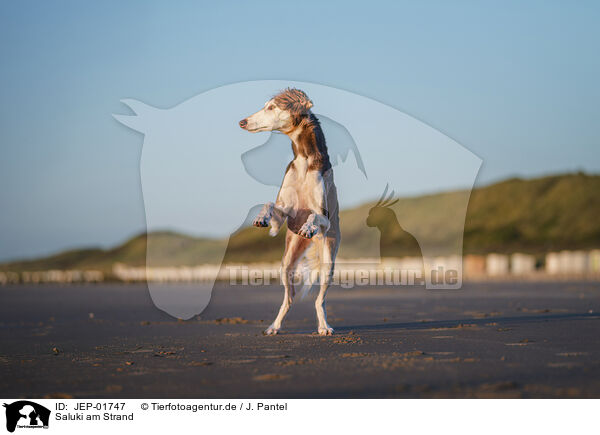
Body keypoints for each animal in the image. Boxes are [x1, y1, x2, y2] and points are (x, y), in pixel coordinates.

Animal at [240, 88, 342, 338]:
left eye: (271, 107)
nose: (242, 122)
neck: (305, 159)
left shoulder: (324, 215)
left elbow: (314, 215)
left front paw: (308, 226)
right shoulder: (285, 212)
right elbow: (269, 204)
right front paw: (261, 218)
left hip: (328, 260)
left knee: (319, 300)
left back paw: (324, 326)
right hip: (286, 262)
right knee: (290, 297)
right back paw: (274, 326)